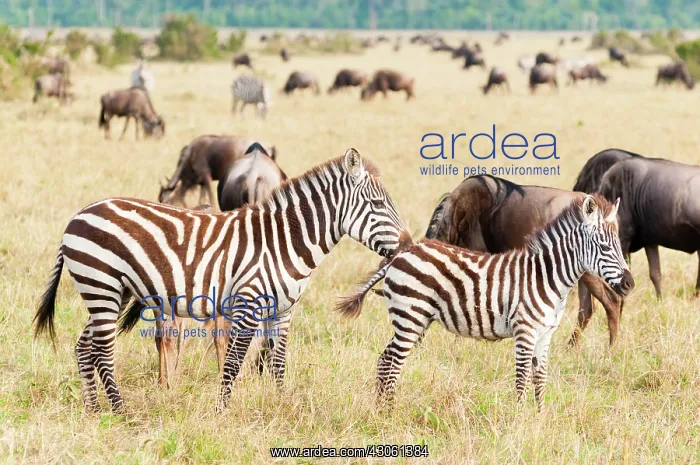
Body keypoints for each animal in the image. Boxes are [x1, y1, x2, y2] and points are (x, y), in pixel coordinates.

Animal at [33, 149, 411, 413]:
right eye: (378, 204)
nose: (408, 244)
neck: (281, 242)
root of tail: (79, 214)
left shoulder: (284, 310)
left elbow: (278, 362)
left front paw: (282, 404)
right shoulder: (249, 303)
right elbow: (232, 362)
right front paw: (221, 411)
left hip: (112, 291)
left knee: (84, 346)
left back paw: (94, 409)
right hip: (102, 285)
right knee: (101, 349)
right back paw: (119, 409)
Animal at [336, 195, 634, 411]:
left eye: (620, 247)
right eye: (605, 248)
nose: (630, 284)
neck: (546, 277)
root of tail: (402, 253)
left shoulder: (545, 334)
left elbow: (540, 379)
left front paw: (540, 418)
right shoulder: (525, 331)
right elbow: (522, 379)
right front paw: (519, 421)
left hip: (414, 319)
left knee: (384, 360)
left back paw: (381, 411)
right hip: (410, 317)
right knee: (392, 363)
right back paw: (389, 413)